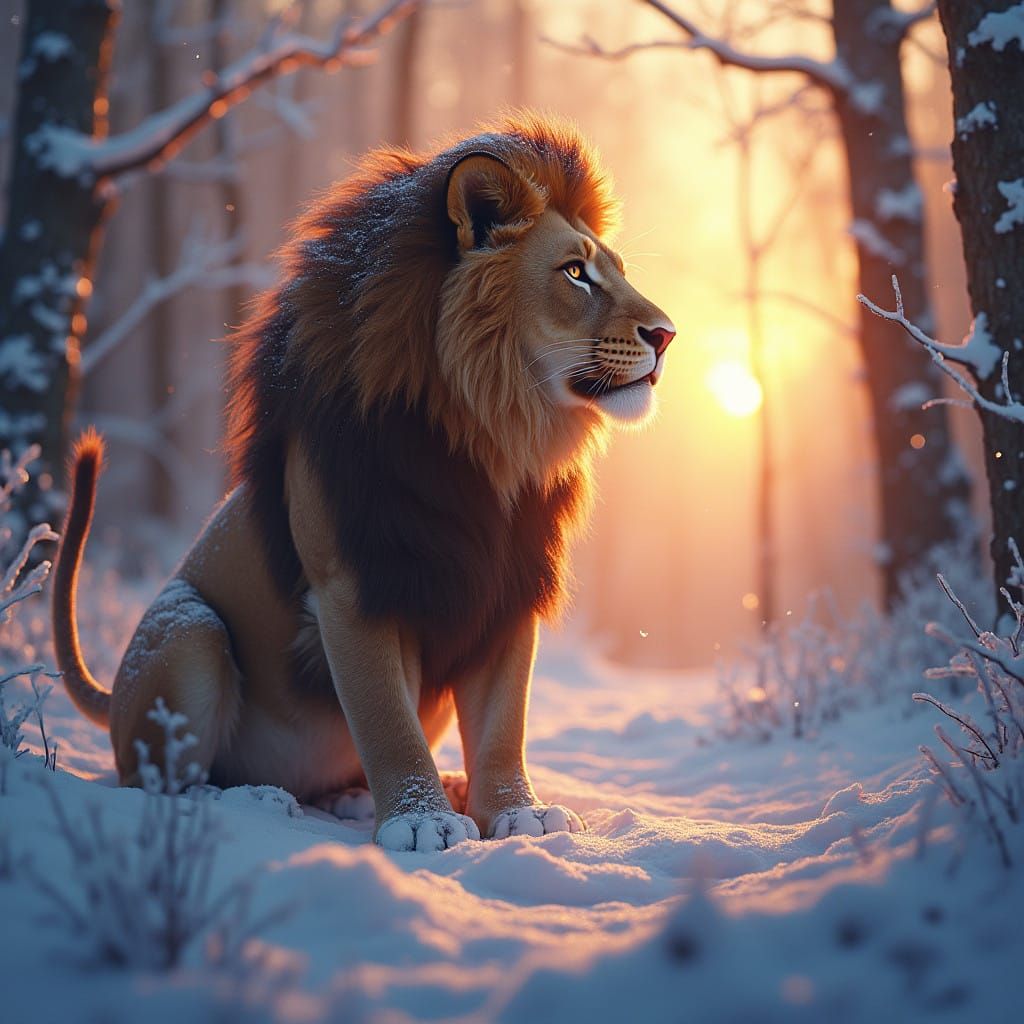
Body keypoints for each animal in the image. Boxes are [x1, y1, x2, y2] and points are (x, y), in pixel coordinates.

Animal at [51, 113, 675, 851]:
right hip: (188, 628)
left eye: (615, 271)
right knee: (154, 777)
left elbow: (504, 726)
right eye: (576, 273)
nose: (667, 335)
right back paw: (255, 799)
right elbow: (386, 719)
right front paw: (423, 822)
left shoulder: (507, 592)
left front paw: (516, 812)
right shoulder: (353, 588)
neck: (494, 438)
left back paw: (365, 796)